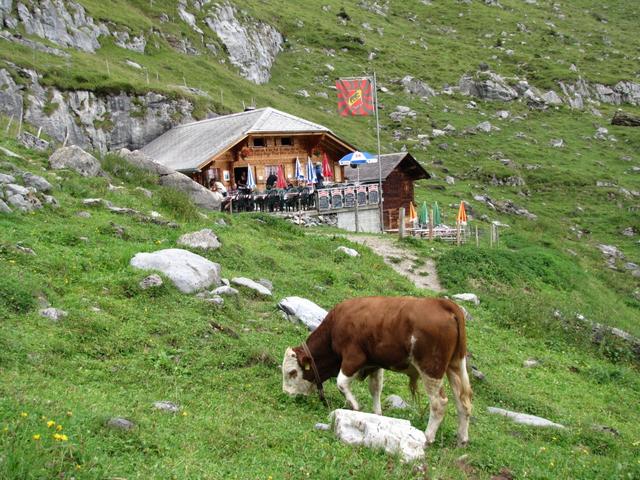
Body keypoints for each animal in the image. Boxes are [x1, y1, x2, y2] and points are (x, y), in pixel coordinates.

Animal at [282, 296, 472, 446]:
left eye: (292, 372)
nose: (287, 394)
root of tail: (442, 303)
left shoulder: (353, 357)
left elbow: (341, 383)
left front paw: (355, 406)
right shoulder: (374, 363)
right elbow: (375, 388)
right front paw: (377, 414)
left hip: (431, 368)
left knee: (439, 403)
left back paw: (428, 436)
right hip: (455, 365)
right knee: (463, 401)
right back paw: (461, 439)